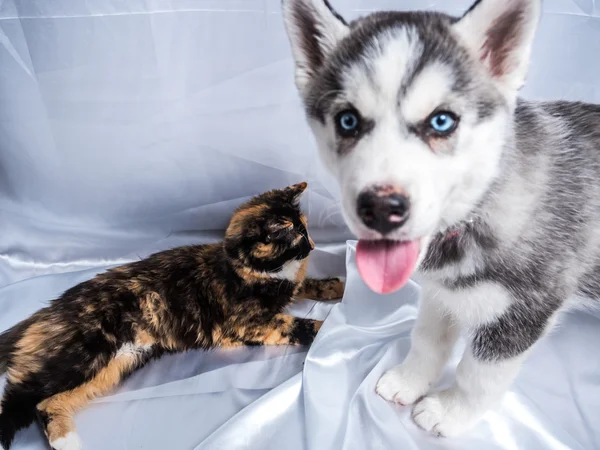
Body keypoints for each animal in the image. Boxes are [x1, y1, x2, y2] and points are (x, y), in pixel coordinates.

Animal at [0, 183, 342, 450]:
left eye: (307, 230)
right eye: (298, 238)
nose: (314, 245)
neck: (242, 268)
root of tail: (49, 310)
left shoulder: (287, 290)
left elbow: (307, 284)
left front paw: (339, 287)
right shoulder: (249, 324)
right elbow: (299, 324)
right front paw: (332, 331)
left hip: (114, 365)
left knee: (47, 403)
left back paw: (67, 441)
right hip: (80, 354)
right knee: (18, 396)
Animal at [282, 0, 600, 438]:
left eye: (441, 121)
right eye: (348, 121)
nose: (381, 208)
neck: (475, 212)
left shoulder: (524, 312)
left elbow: (478, 374)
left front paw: (450, 411)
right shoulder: (440, 291)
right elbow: (427, 338)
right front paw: (409, 381)